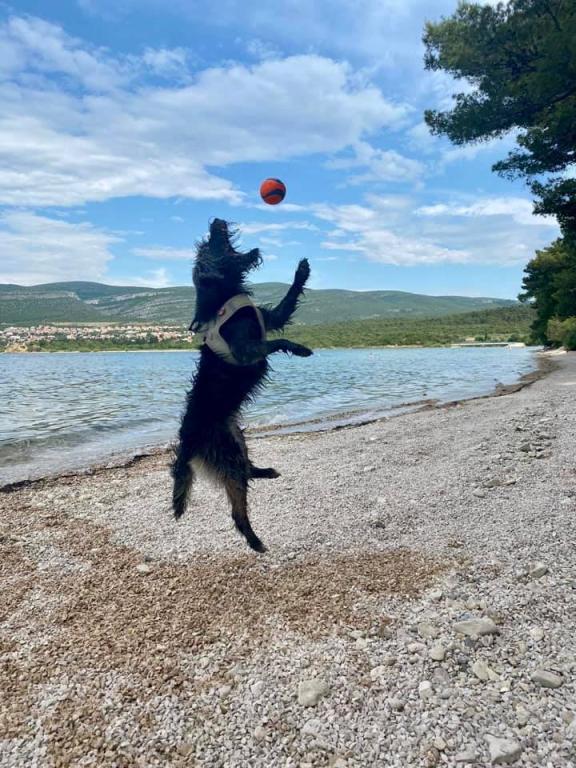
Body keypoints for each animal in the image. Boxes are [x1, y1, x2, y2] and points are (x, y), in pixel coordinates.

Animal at [171, 218, 312, 552]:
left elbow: (288, 301)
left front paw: (302, 270)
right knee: (237, 510)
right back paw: (254, 540)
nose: (216, 221)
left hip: (238, 439)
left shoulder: (271, 318)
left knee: (248, 468)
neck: (223, 297)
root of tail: (187, 440)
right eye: (209, 244)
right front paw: (300, 348)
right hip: (227, 455)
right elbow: (273, 343)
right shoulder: (244, 351)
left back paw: (264, 471)